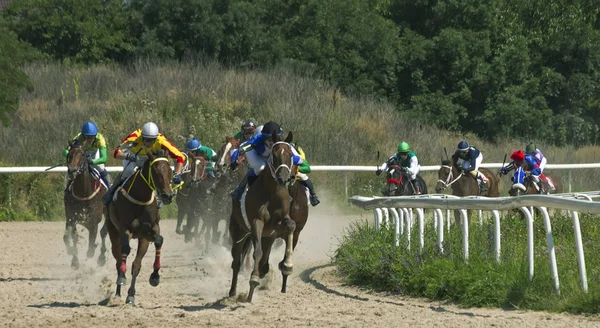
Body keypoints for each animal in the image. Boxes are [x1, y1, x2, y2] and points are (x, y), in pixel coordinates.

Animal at [102, 151, 172, 304]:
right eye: (155, 171)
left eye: (170, 170)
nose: (168, 195)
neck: (140, 199)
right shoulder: (125, 229)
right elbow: (125, 250)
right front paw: (122, 277)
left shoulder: (149, 231)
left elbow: (158, 241)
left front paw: (154, 277)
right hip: (113, 232)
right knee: (118, 258)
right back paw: (118, 290)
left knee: (135, 265)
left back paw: (130, 295)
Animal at [226, 131, 310, 302]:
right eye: (275, 155)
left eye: (291, 156)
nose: (285, 178)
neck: (271, 192)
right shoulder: (257, 222)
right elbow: (256, 252)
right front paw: (253, 280)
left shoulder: (281, 225)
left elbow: (291, 226)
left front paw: (287, 266)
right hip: (238, 230)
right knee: (236, 261)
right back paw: (233, 292)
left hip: (268, 236)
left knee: (263, 258)